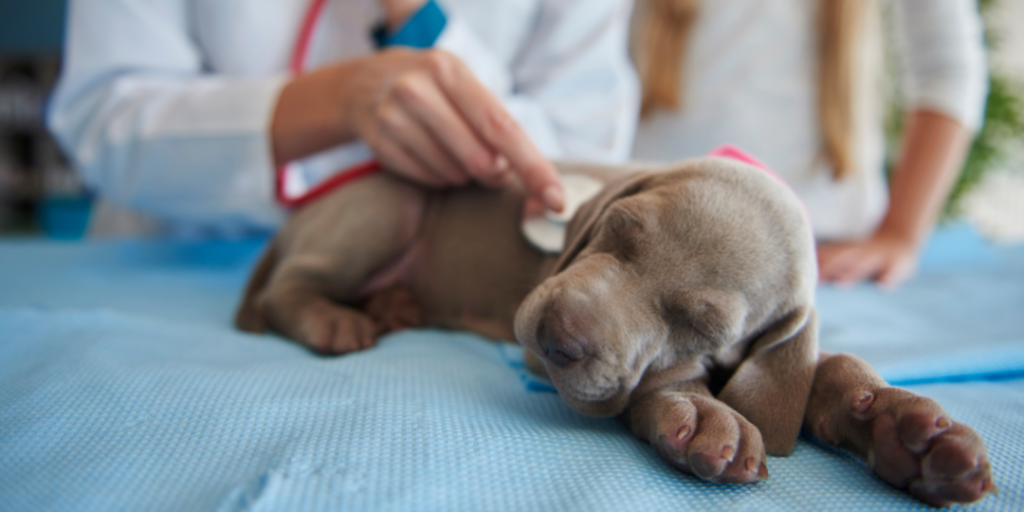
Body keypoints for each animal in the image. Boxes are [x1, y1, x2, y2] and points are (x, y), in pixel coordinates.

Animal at [237, 157, 991, 505]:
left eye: (701, 324)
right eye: (619, 232)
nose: (557, 337)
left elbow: (819, 367)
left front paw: (907, 431)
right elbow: (658, 386)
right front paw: (699, 412)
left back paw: (393, 307)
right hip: (385, 206)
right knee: (287, 288)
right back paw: (336, 319)